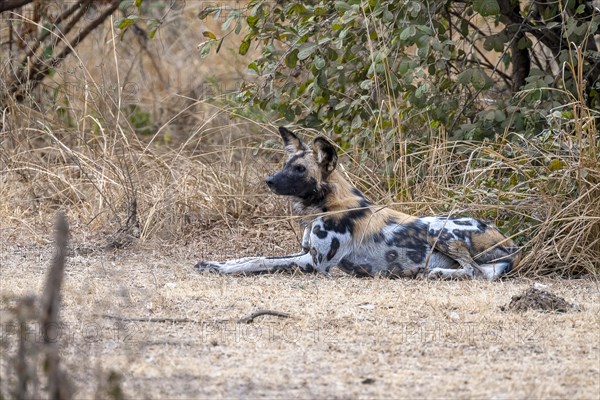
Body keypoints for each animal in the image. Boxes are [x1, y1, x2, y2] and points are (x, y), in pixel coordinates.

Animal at [196, 126, 520, 280]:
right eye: (285, 164)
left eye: (299, 169)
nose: (269, 180)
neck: (324, 205)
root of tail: (511, 243)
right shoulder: (304, 252)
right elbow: (248, 258)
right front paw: (213, 264)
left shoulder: (315, 263)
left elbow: (260, 261)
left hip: (439, 228)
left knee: (478, 273)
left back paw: (435, 273)